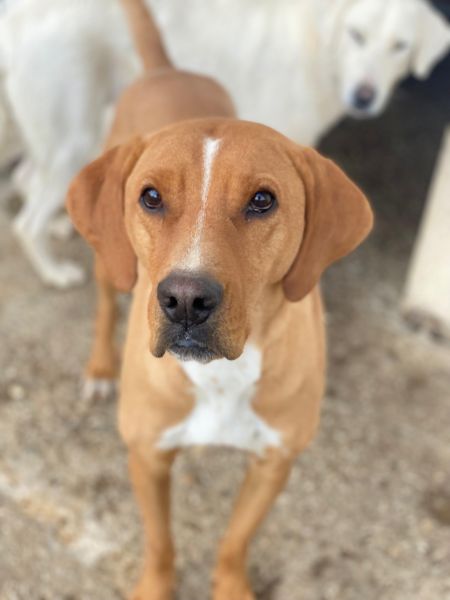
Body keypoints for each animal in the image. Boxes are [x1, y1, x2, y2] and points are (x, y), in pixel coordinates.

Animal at [66, 0, 373, 597]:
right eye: (151, 197)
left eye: (263, 201)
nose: (185, 299)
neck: (224, 376)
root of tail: (167, 70)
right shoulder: (148, 455)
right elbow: (160, 543)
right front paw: (155, 586)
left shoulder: (274, 463)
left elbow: (235, 541)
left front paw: (230, 584)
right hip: (109, 267)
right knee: (104, 305)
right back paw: (98, 368)